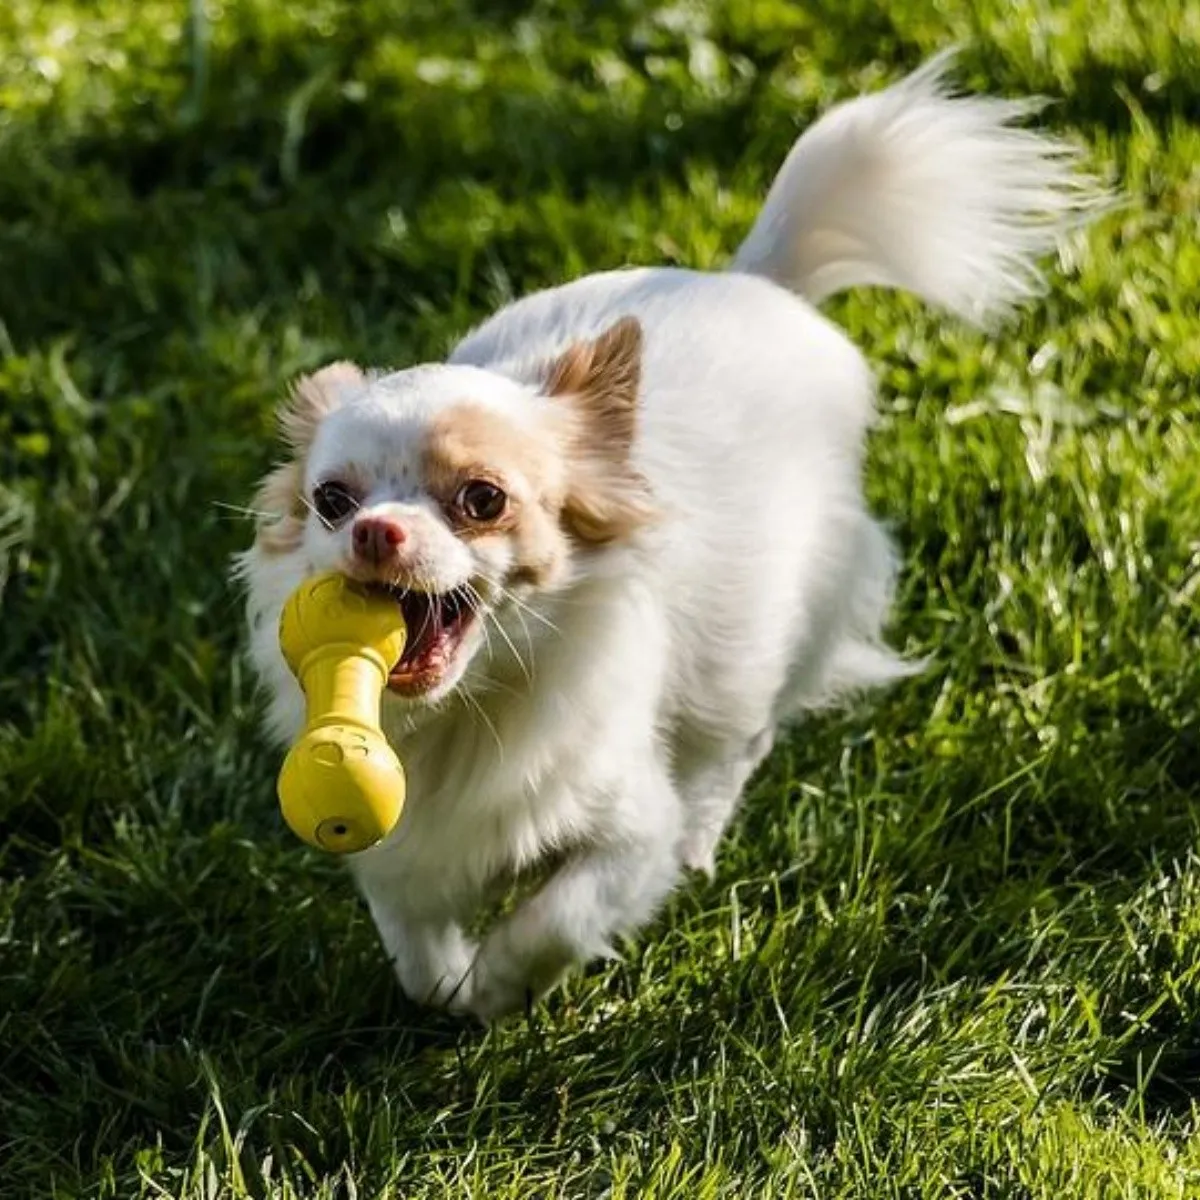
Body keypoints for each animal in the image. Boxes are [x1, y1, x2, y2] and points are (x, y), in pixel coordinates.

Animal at [236, 51, 1104, 1017]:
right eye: (332, 501)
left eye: (482, 499)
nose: (376, 532)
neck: (469, 711)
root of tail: (756, 280)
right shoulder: (400, 847)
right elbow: (419, 955)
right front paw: (456, 987)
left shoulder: (624, 830)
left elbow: (559, 916)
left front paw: (501, 987)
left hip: (762, 647)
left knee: (735, 747)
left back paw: (700, 840)